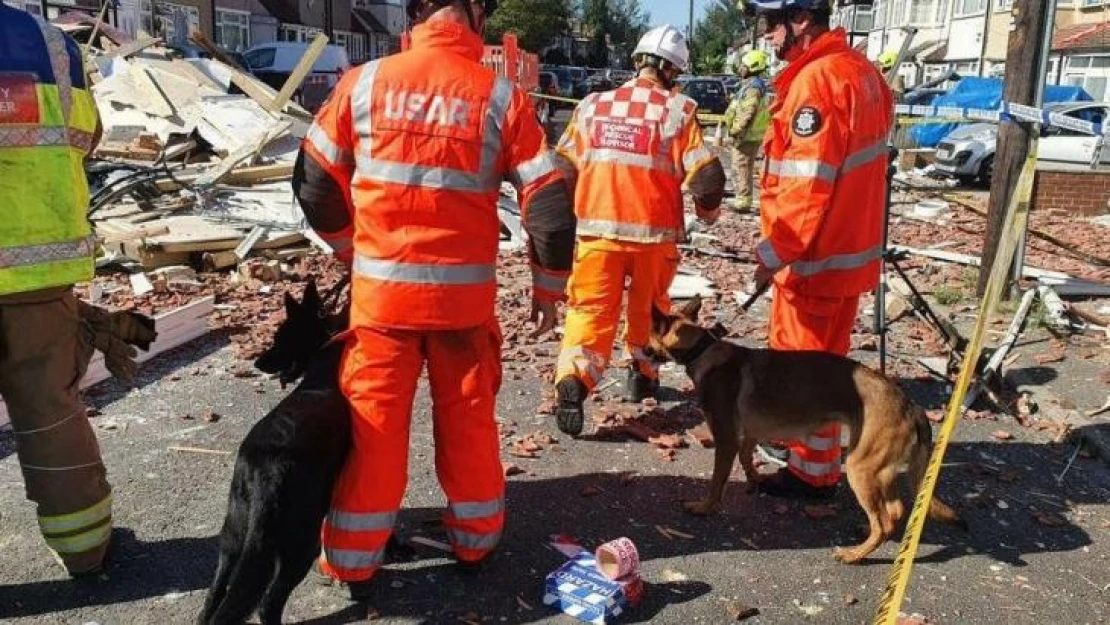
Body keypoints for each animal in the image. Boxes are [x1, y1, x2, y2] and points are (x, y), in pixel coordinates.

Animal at [197, 281, 348, 625]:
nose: (257, 364)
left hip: (234, 534)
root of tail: (263, 471)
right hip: (299, 543)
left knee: (214, 594)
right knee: (268, 603)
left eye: (279, 340)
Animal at [648, 295, 963, 563]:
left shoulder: (726, 440)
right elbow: (747, 457)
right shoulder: (749, 434)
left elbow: (716, 481)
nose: (639, 351)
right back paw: (866, 532)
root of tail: (911, 404)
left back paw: (854, 555)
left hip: (860, 466)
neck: (702, 348)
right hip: (879, 470)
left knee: (884, 522)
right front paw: (755, 480)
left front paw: (705, 507)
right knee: (894, 511)